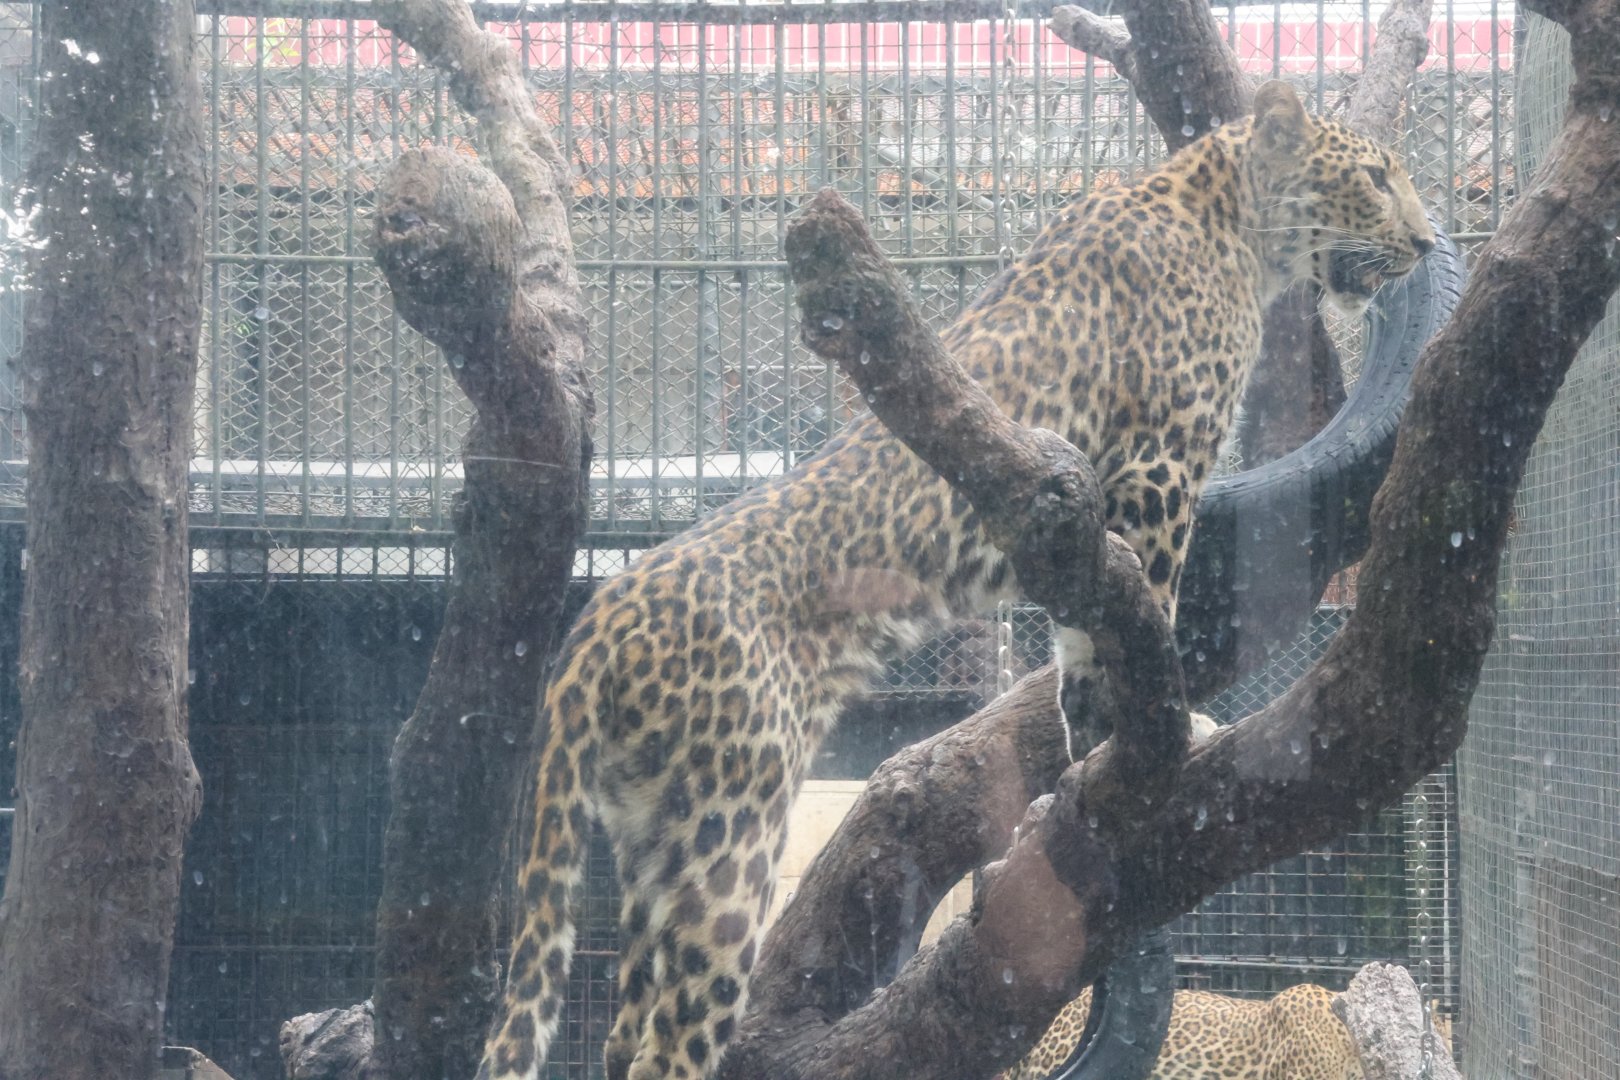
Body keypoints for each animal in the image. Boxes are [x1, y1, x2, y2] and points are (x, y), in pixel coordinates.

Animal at [478, 80, 1435, 1080]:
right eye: (1377, 178)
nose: (1428, 243)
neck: (1237, 227)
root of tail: (600, 618)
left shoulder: (1082, 525)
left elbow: (1083, 658)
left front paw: (1091, 765)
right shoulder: (1160, 474)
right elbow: (1147, 616)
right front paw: (1164, 735)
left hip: (652, 837)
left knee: (624, 1030)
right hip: (726, 828)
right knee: (670, 1039)